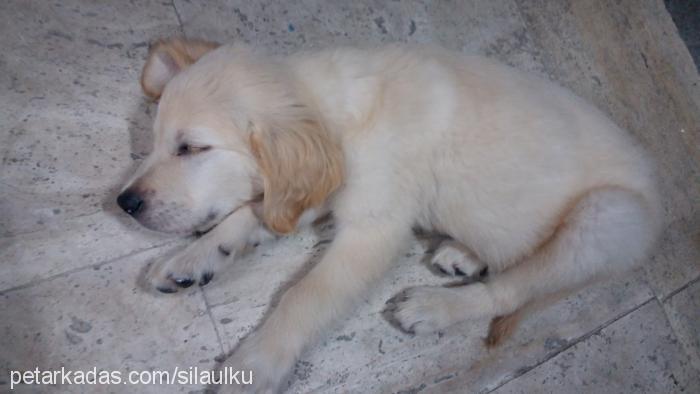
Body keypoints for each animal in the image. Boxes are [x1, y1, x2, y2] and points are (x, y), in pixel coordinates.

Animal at [117, 37, 660, 394]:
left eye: (192, 148)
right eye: (156, 140)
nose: (125, 203)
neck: (336, 113)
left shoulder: (373, 229)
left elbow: (303, 296)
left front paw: (256, 364)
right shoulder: (312, 188)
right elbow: (246, 216)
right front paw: (192, 259)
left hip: (608, 217)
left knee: (511, 289)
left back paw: (434, 306)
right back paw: (463, 253)